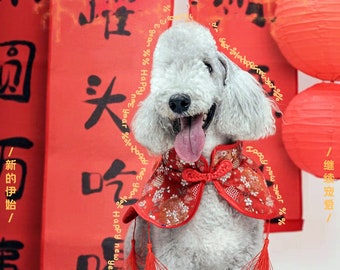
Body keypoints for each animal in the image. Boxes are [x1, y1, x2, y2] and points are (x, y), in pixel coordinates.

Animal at [123, 21, 278, 270]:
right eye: (165, 70)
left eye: (208, 66)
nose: (178, 100)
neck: (207, 176)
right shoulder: (173, 257)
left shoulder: (245, 257)